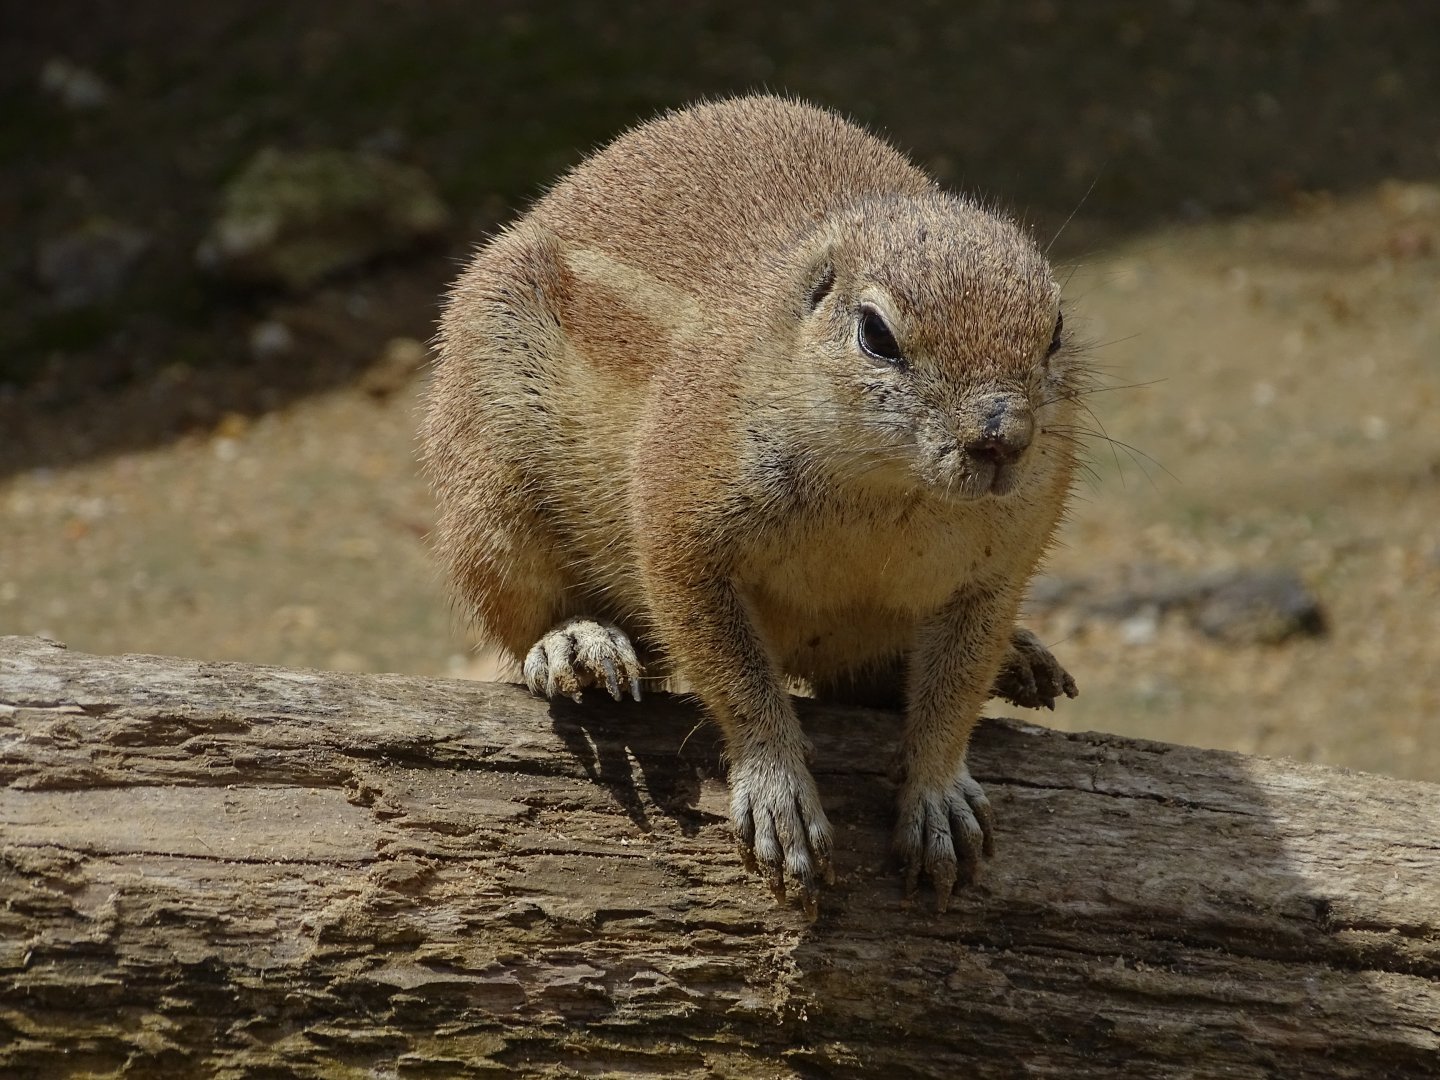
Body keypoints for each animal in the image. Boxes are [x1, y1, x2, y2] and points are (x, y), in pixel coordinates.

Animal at [421, 95, 1086, 914]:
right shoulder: (681, 527)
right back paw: (575, 643)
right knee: (517, 620)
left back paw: (1019, 660)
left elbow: (955, 690)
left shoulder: (996, 574)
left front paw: (938, 794)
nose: (1003, 438)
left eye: (1056, 330)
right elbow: (734, 676)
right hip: (490, 486)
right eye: (876, 333)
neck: (888, 492)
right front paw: (779, 793)